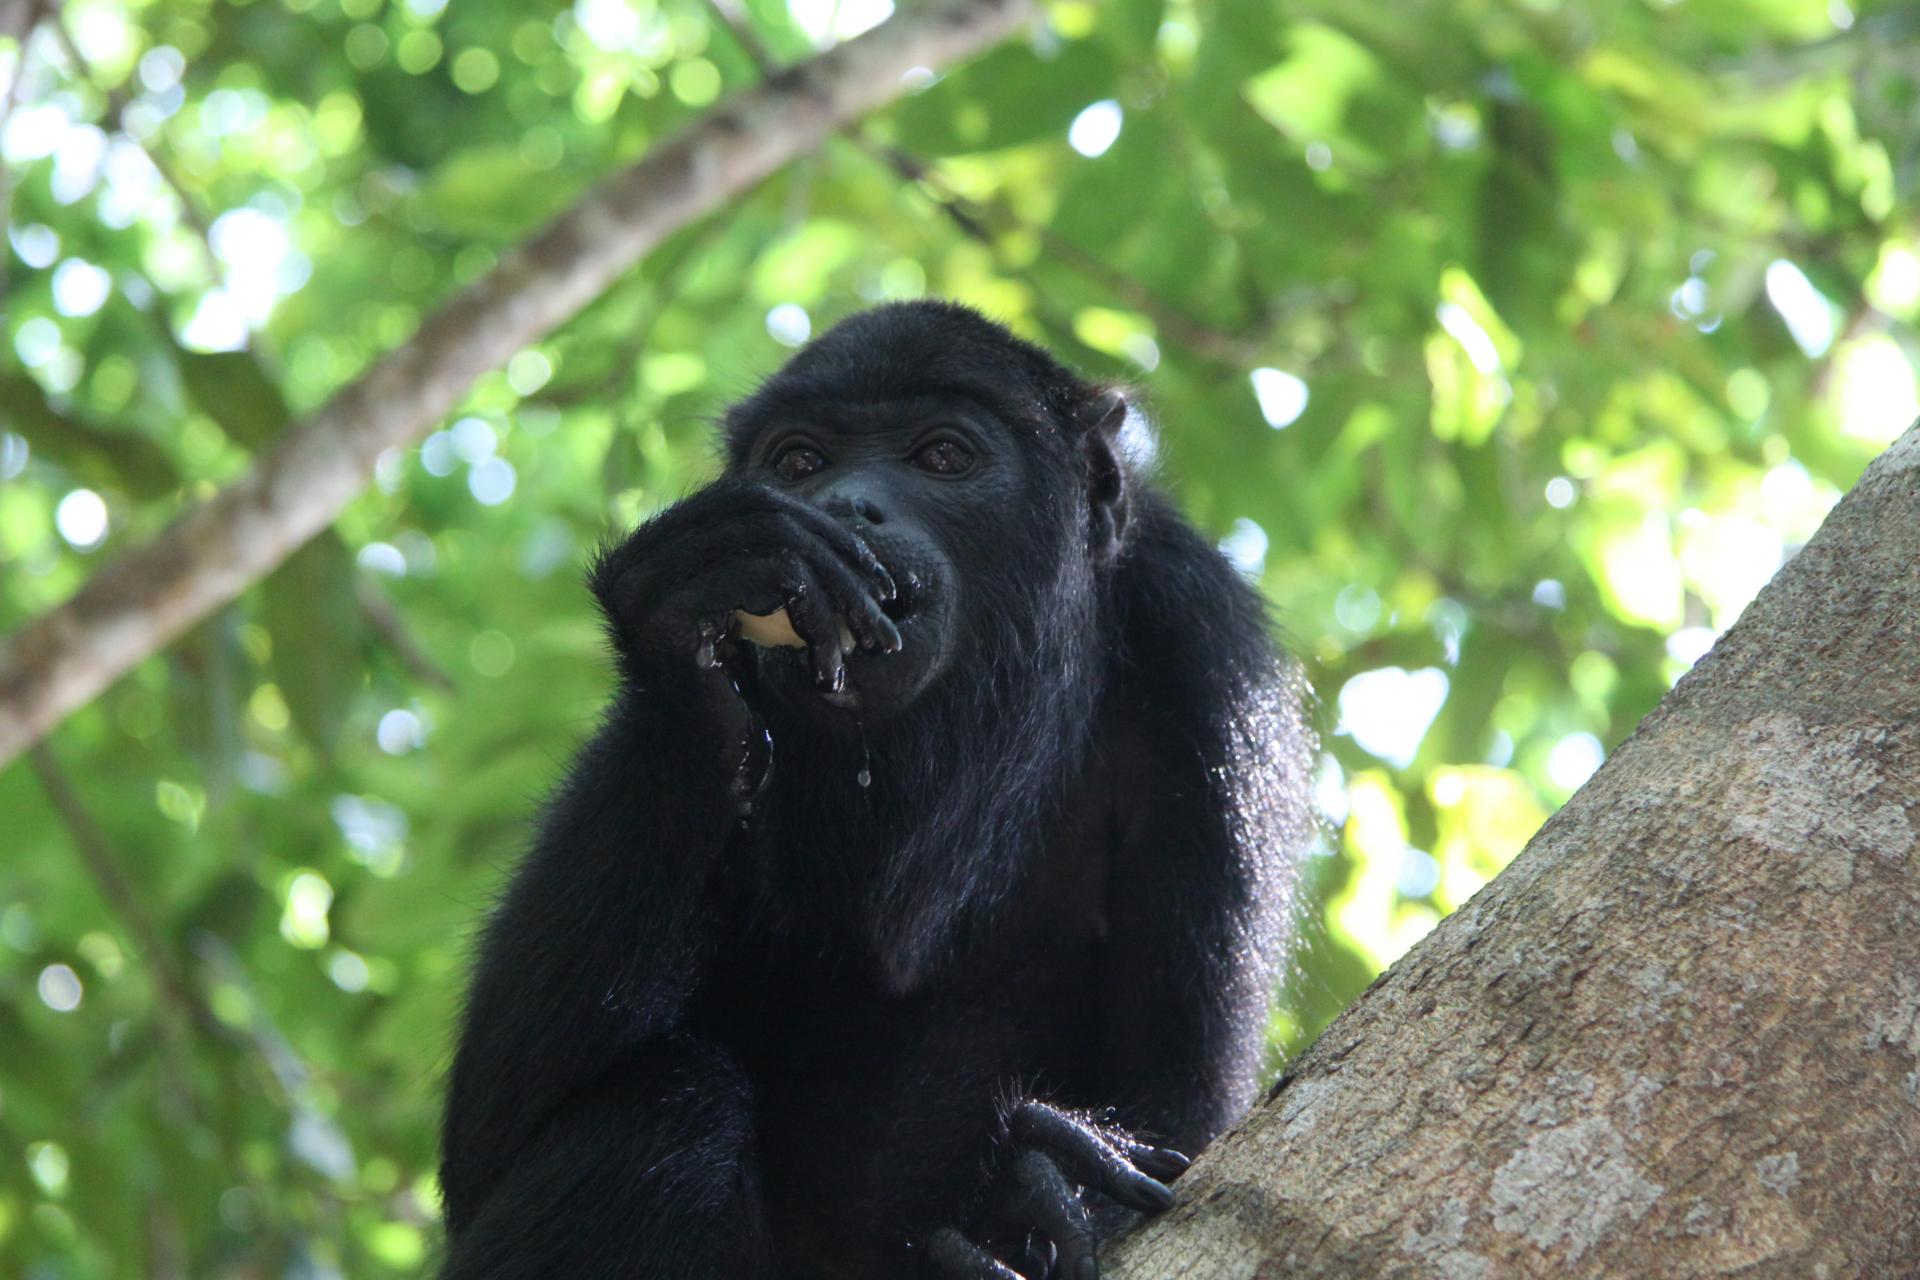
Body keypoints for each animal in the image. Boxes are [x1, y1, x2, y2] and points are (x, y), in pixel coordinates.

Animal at [439, 303, 1313, 1280]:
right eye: (800, 463)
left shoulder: (1205, 659)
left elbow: (1180, 1105)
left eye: (942, 455)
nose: (844, 504)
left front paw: (1030, 1191)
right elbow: (486, 1135)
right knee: (660, 1115)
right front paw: (682, 629)